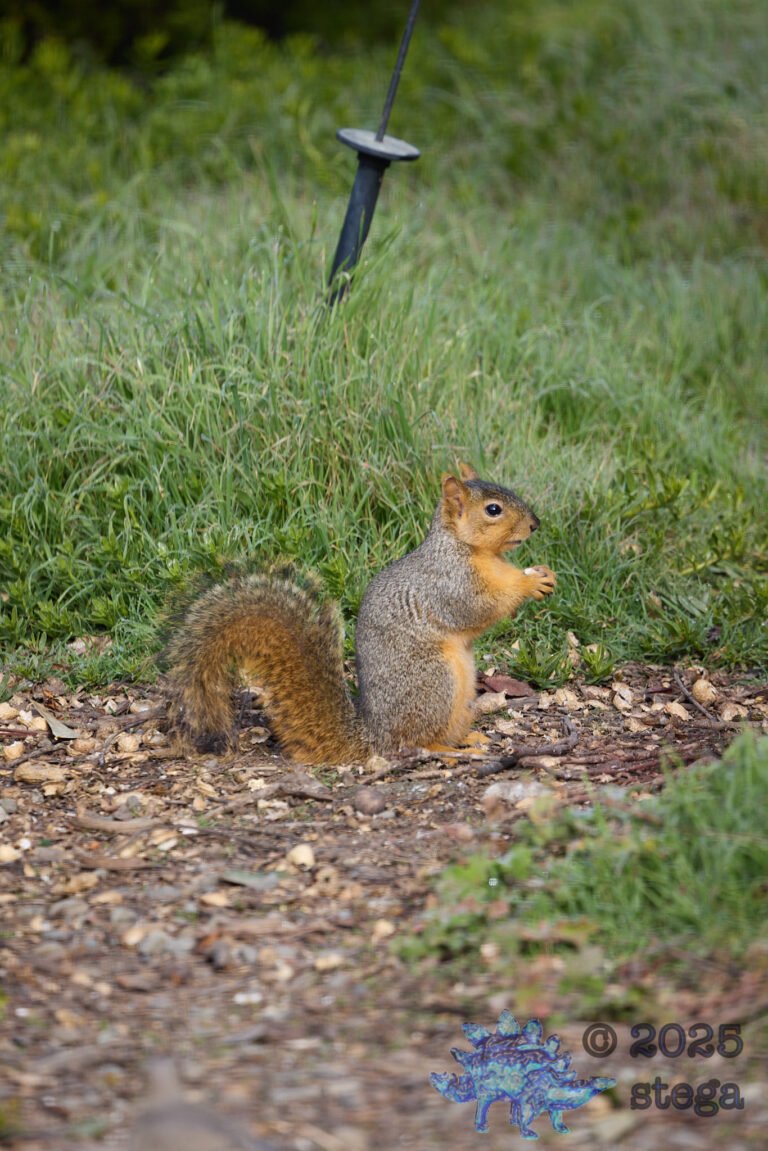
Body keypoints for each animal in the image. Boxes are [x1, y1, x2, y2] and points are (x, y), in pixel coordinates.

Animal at [165, 463, 556, 764]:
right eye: (493, 510)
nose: (536, 524)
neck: (473, 550)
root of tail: (375, 735)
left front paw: (542, 573)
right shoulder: (448, 582)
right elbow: (476, 608)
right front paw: (527, 584)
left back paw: (469, 739)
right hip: (435, 682)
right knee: (416, 741)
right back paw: (448, 750)